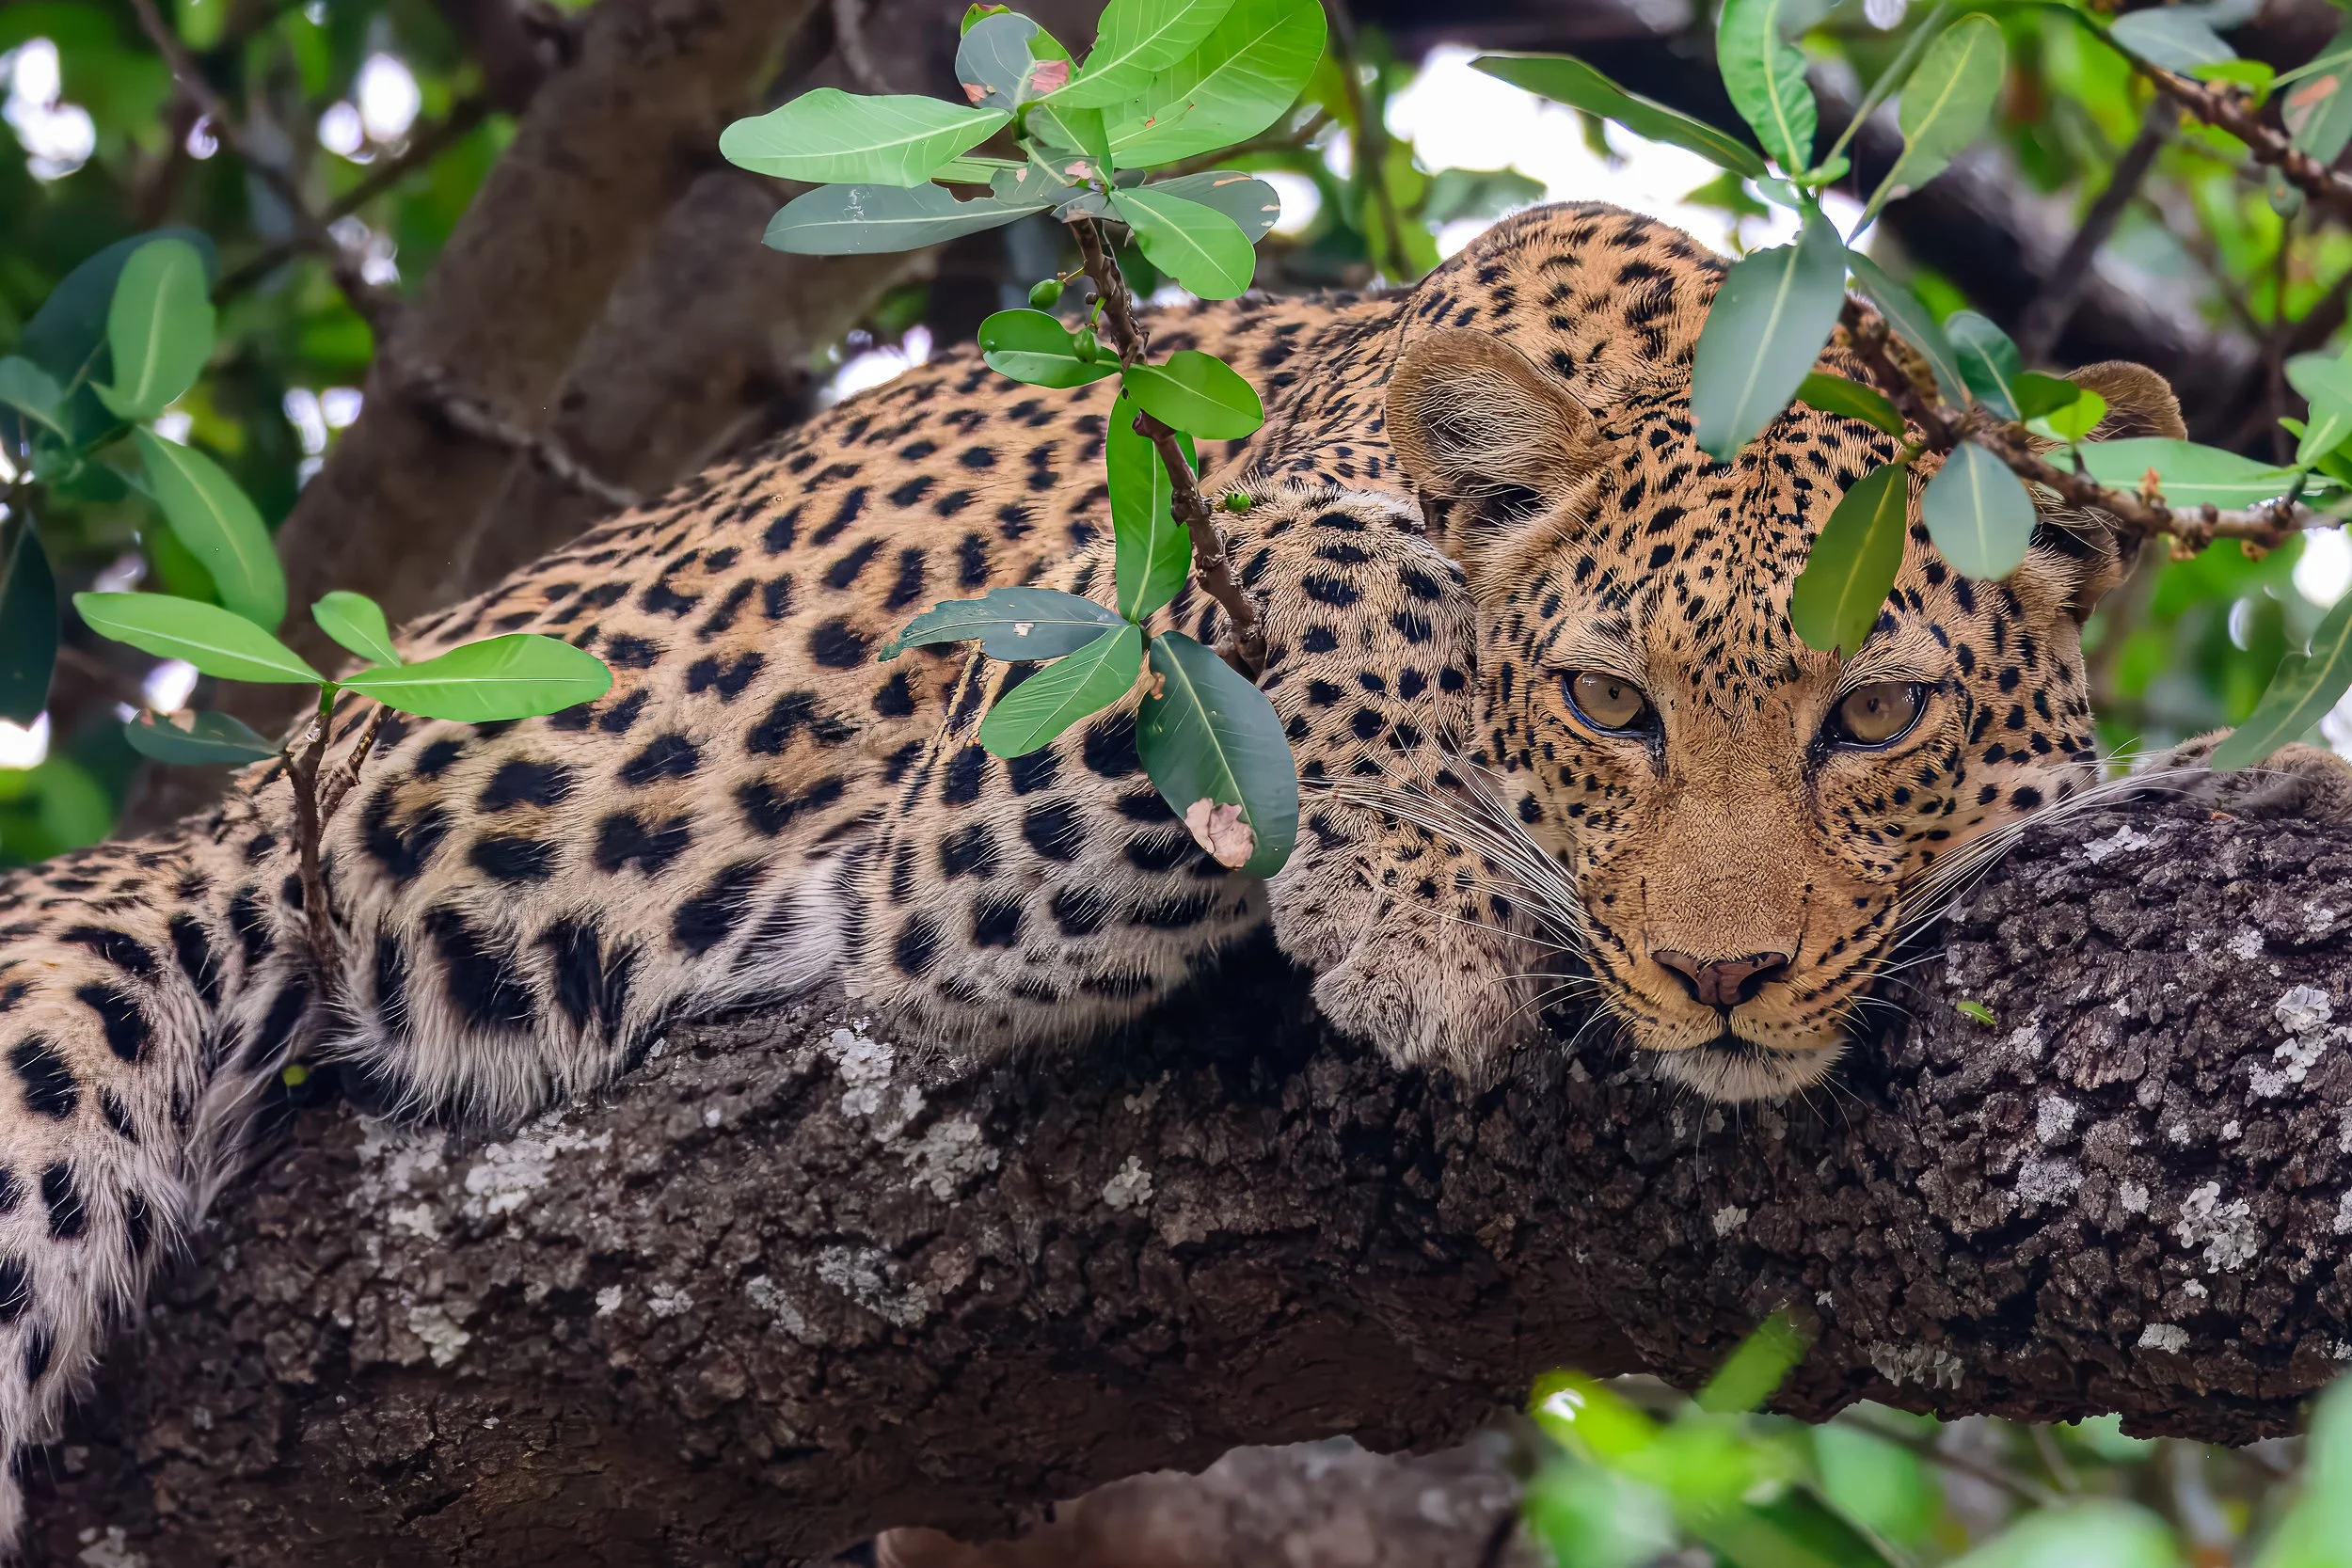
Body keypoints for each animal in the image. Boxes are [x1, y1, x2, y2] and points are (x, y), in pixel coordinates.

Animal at [0, 199, 2345, 1550]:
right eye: (1606, 706)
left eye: (1872, 717)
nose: (1722, 978)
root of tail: (284, 756)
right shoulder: (993, 786)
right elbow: (1335, 576)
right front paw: (1412, 904)